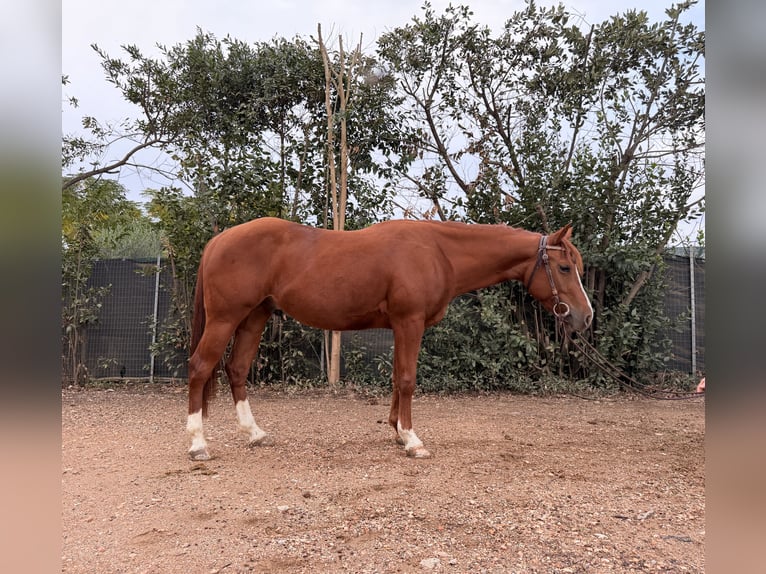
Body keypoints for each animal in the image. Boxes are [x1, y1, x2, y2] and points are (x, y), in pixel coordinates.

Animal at [186, 217, 593, 460]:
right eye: (563, 267)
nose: (585, 316)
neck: (439, 252)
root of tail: (219, 240)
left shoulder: (402, 326)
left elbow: (398, 379)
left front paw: (397, 432)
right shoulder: (409, 322)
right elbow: (408, 380)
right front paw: (413, 440)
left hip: (255, 317)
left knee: (236, 369)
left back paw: (254, 434)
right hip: (225, 319)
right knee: (200, 368)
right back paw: (198, 443)